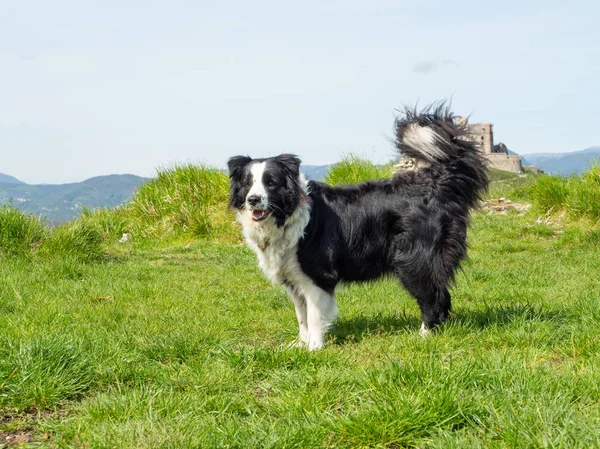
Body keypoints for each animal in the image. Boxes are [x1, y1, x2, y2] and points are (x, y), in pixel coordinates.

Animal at [227, 105, 490, 350]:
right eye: (248, 184)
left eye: (271, 183)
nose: (253, 200)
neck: (288, 215)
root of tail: (433, 187)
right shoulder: (294, 277)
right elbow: (302, 316)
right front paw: (300, 345)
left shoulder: (317, 275)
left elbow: (314, 317)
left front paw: (314, 349)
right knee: (442, 294)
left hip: (413, 258)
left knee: (434, 296)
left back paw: (424, 335)